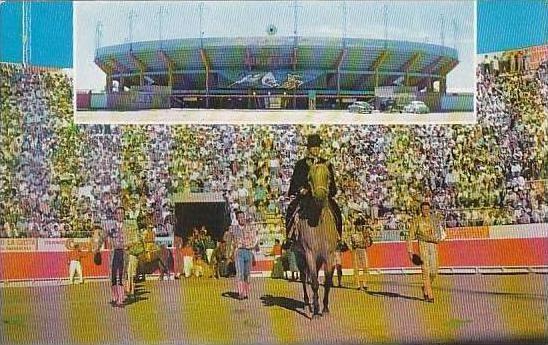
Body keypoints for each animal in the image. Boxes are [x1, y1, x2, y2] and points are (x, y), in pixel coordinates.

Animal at [292, 163, 338, 318]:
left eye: (328, 176)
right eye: (309, 177)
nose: (319, 197)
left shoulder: (329, 255)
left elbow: (327, 281)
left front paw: (325, 308)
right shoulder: (310, 254)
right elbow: (314, 283)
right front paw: (316, 311)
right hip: (299, 256)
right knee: (303, 277)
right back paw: (307, 304)